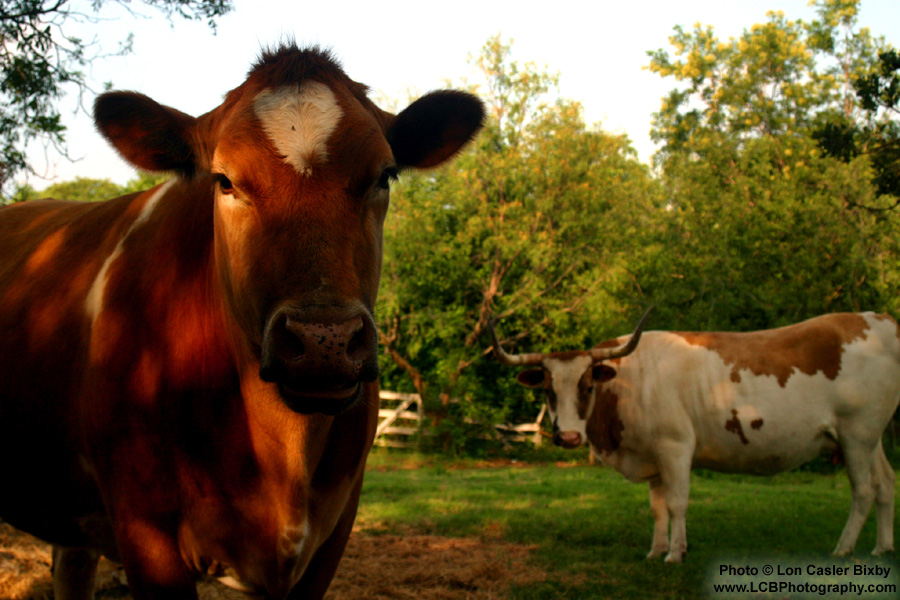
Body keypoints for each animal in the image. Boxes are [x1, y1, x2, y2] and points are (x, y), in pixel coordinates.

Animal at [492, 312, 900, 564]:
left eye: (587, 384)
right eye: (548, 389)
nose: (569, 436)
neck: (630, 380)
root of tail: (877, 320)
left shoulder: (674, 448)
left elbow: (677, 504)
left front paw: (675, 554)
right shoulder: (653, 456)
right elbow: (657, 508)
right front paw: (655, 552)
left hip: (856, 435)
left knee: (864, 490)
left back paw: (843, 549)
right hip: (871, 438)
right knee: (885, 484)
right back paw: (882, 548)